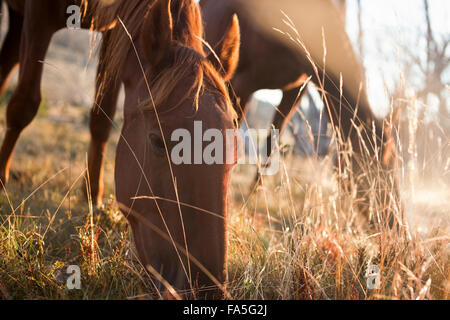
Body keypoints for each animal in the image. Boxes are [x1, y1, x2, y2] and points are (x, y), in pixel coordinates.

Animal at [0, 0, 243, 298]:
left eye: (234, 153)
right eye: (158, 142)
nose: (205, 290)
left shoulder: (114, 31)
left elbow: (101, 117)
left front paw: (92, 197)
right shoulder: (38, 16)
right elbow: (24, 105)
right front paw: (0, 181)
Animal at [202, 0, 400, 225]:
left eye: (393, 161)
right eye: (375, 165)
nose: (397, 224)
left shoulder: (296, 89)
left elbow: (272, 141)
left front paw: (253, 193)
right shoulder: (242, 83)